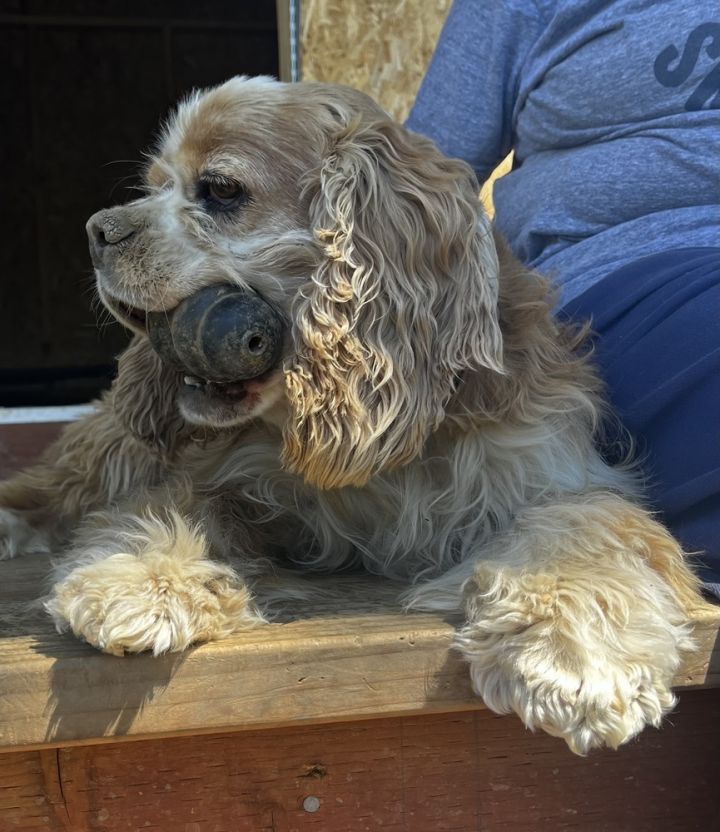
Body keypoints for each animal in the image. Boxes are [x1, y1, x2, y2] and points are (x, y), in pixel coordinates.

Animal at [0, 76, 704, 752]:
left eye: (221, 190)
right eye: (153, 187)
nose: (98, 230)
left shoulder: (553, 467)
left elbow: (584, 529)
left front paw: (576, 662)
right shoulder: (215, 475)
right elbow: (175, 508)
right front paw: (139, 584)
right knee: (52, 484)